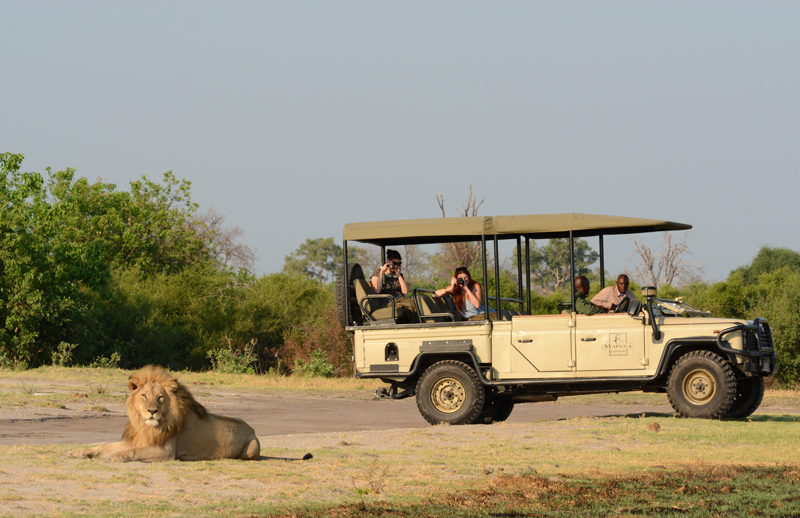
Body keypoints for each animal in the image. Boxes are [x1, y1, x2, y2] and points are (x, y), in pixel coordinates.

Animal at [69, 365, 260, 462]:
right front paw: (79, 452)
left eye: (160, 397)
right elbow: (104, 446)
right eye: (144, 396)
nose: (152, 411)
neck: (145, 426)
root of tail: (251, 428)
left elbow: (134, 452)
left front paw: (115, 456)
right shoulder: (135, 440)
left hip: (252, 449)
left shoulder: (166, 452)